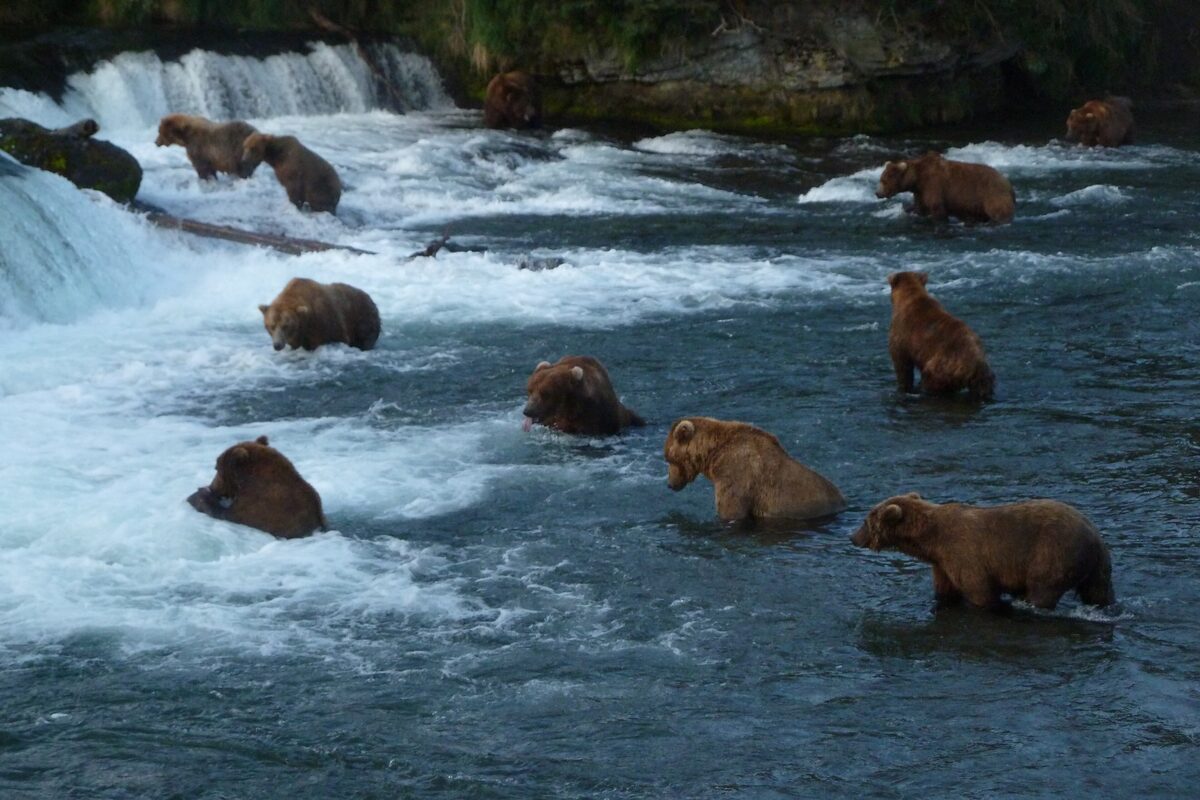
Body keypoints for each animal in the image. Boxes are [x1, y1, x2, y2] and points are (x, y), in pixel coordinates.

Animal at [850, 493, 1115, 611]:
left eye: (865, 521)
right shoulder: (942, 563)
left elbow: (979, 591)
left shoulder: (964, 553)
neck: (931, 541)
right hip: (1096, 565)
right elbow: (945, 590)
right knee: (1098, 591)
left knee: (1042, 589)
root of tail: (1094, 535)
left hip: (1053, 553)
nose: (852, 537)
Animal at [876, 151, 1015, 223]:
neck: (917, 179)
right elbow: (918, 208)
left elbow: (937, 208)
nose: (877, 193)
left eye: (884, 180)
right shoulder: (920, 192)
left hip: (991, 194)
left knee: (998, 211)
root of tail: (1008, 183)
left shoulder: (933, 186)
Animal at [887, 270, 995, 401]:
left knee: (930, 381)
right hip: (982, 372)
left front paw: (903, 387)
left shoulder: (901, 334)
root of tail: (975, 364)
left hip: (942, 365)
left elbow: (902, 365)